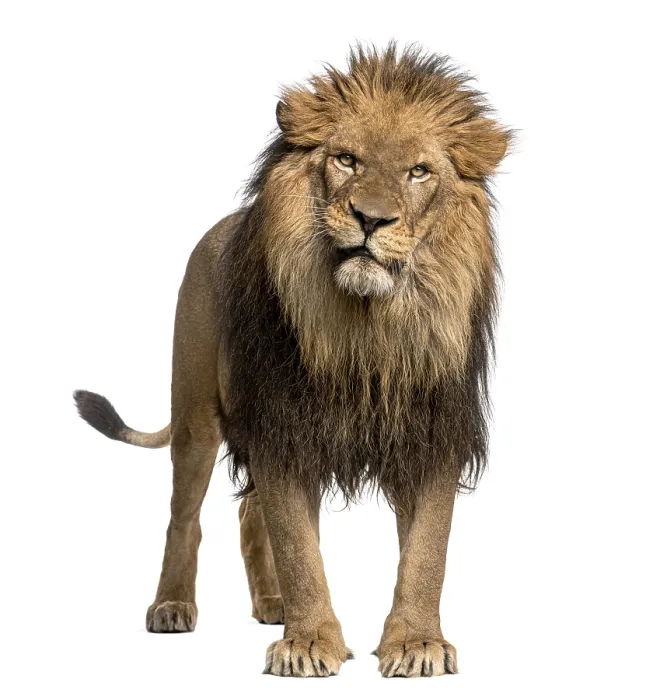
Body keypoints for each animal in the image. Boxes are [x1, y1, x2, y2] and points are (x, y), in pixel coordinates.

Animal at [74, 44, 511, 678]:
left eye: (419, 172)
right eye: (346, 160)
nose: (371, 219)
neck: (365, 329)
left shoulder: (431, 434)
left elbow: (428, 550)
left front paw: (416, 643)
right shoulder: (283, 427)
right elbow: (299, 547)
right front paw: (308, 644)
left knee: (249, 515)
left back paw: (273, 604)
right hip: (196, 415)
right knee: (185, 516)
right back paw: (173, 605)